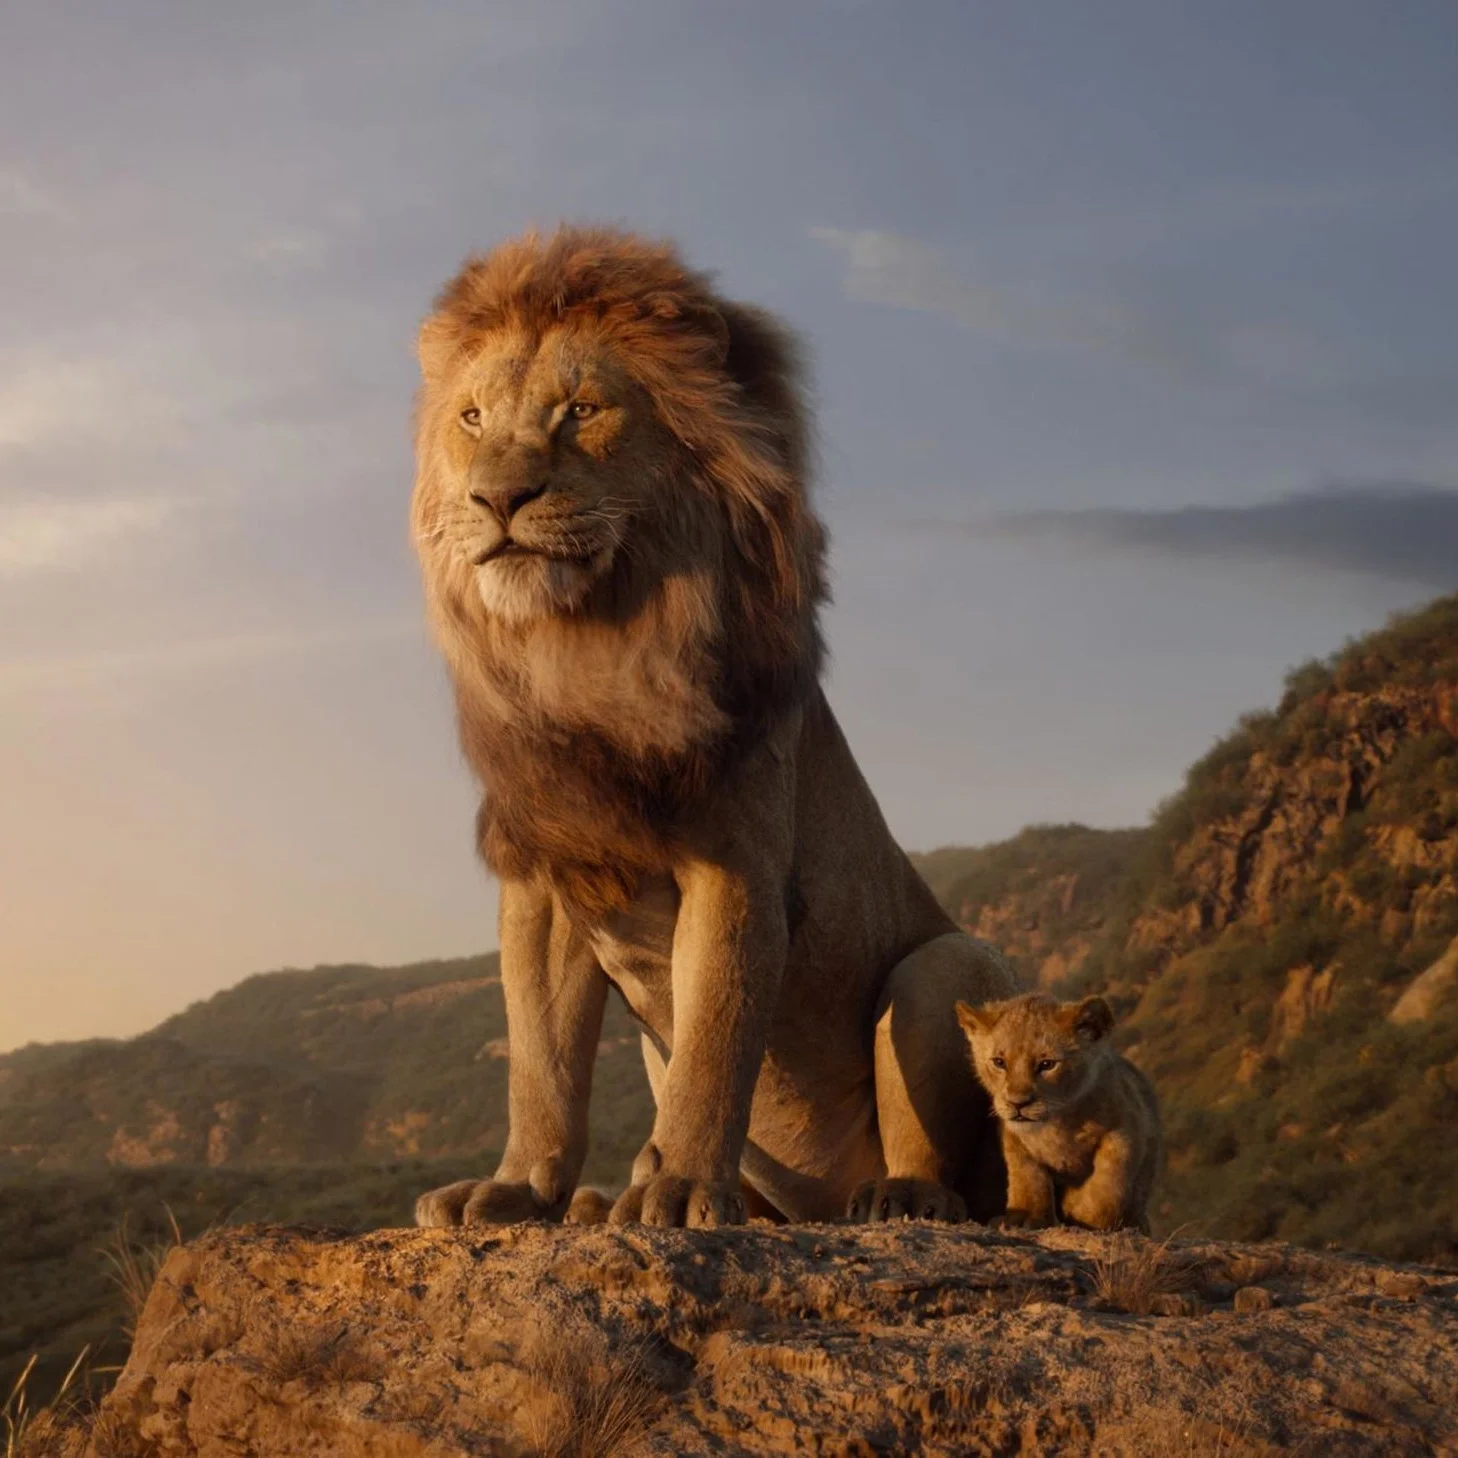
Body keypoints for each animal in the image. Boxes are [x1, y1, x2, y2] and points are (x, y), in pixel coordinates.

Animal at [409, 225, 1017, 1230]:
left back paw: (896, 1197)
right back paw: (601, 1201)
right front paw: (518, 1188)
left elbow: (715, 1040)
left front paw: (683, 1188)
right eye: (471, 419)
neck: (587, 648)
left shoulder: (736, 864)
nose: (497, 499)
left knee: (947, 1166)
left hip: (944, 965)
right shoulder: (547, 876)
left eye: (581, 410)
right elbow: (541, 1063)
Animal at [956, 993, 1162, 1233]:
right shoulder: (1015, 1139)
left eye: (1047, 1064)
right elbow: (1027, 1177)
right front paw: (1025, 1217)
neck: (1057, 1123)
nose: (1017, 1103)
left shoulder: (1125, 1129)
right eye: (999, 1062)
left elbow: (1109, 1183)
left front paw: (1079, 1210)